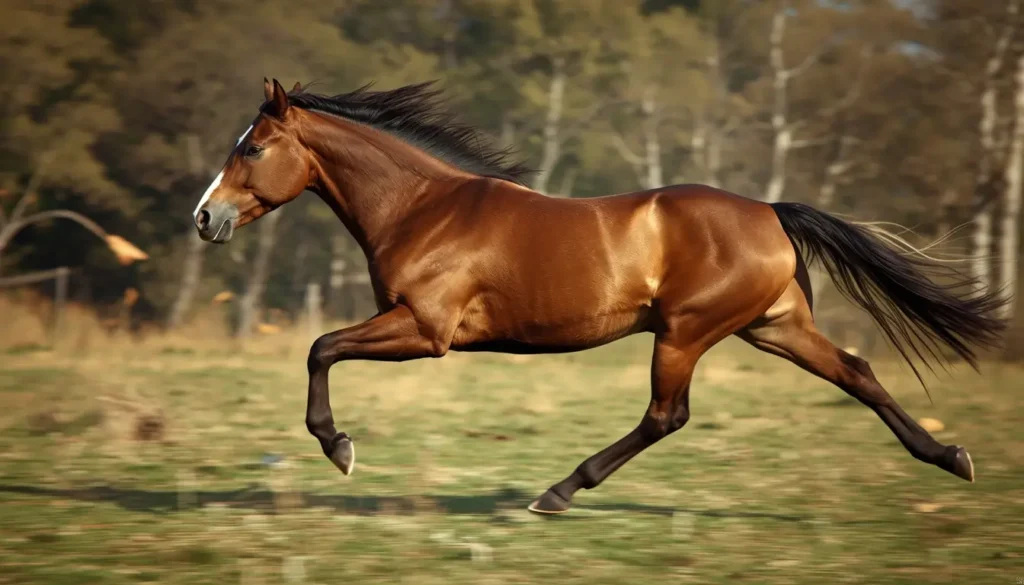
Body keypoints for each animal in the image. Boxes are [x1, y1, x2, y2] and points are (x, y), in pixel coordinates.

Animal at [192, 78, 1006, 514]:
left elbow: (319, 347)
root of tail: (771, 212)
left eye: (252, 148)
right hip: (773, 327)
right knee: (858, 373)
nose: (205, 217)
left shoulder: (425, 329)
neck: (423, 208)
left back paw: (558, 491)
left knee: (666, 415)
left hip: (685, 332)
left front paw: (339, 449)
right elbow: (321, 347)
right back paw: (952, 456)